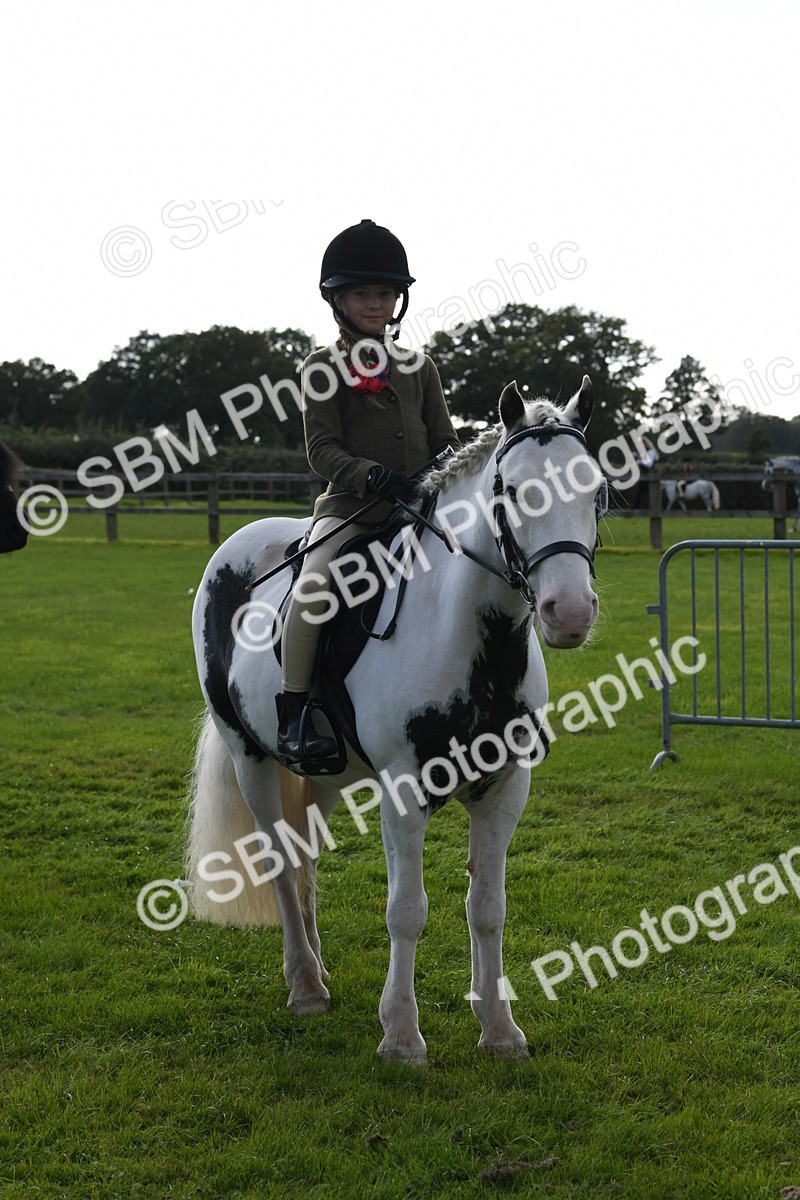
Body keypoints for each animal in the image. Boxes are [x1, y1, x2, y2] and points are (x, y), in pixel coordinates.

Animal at [185, 376, 605, 1064]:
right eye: (514, 490)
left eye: (597, 490)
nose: (568, 613)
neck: (469, 636)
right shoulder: (404, 792)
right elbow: (407, 909)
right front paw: (402, 1036)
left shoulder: (505, 788)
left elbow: (487, 906)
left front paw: (499, 1028)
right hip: (250, 757)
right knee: (281, 862)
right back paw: (304, 987)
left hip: (326, 774)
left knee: (305, 859)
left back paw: (318, 971)